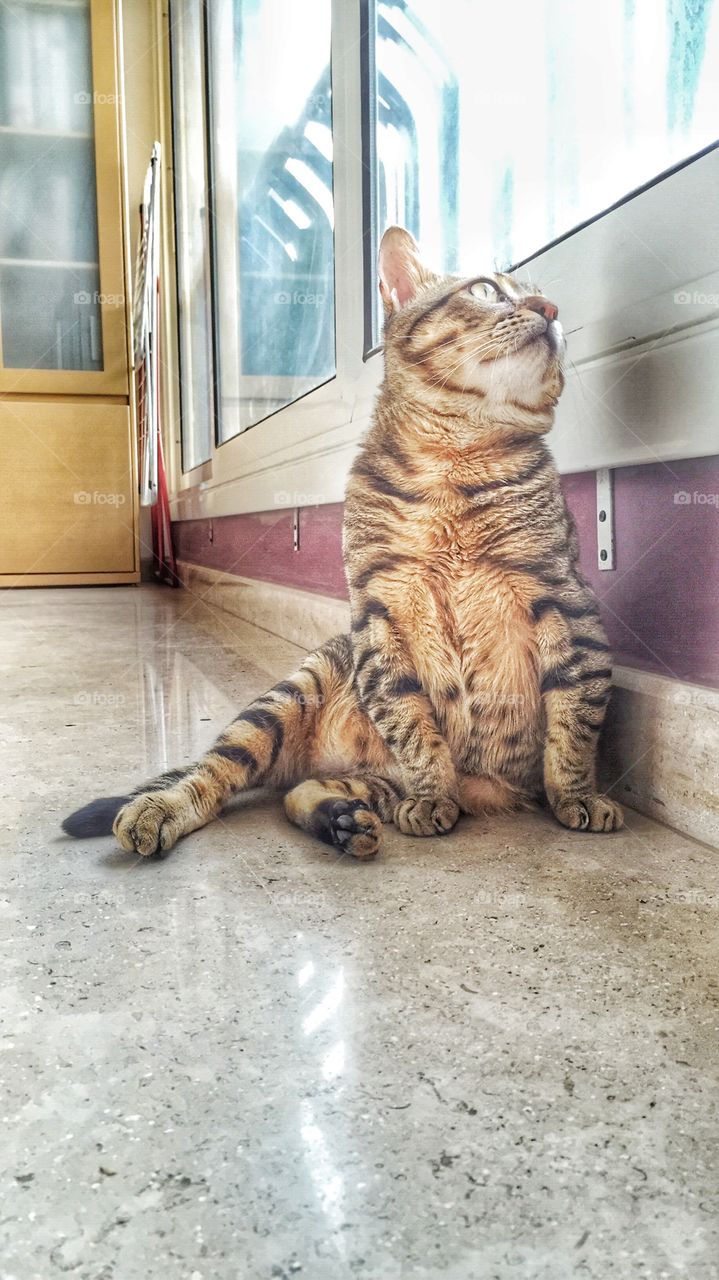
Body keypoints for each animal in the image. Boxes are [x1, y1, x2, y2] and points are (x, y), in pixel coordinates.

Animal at [63, 227, 621, 860]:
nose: (550, 310)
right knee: (213, 774)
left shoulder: (566, 602)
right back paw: (163, 807)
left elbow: (574, 721)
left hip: (364, 774)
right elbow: (413, 725)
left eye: (546, 298)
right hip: (285, 698)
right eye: (485, 289)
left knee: (297, 792)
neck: (453, 463)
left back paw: (341, 820)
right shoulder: (379, 618)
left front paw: (576, 794)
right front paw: (433, 793)